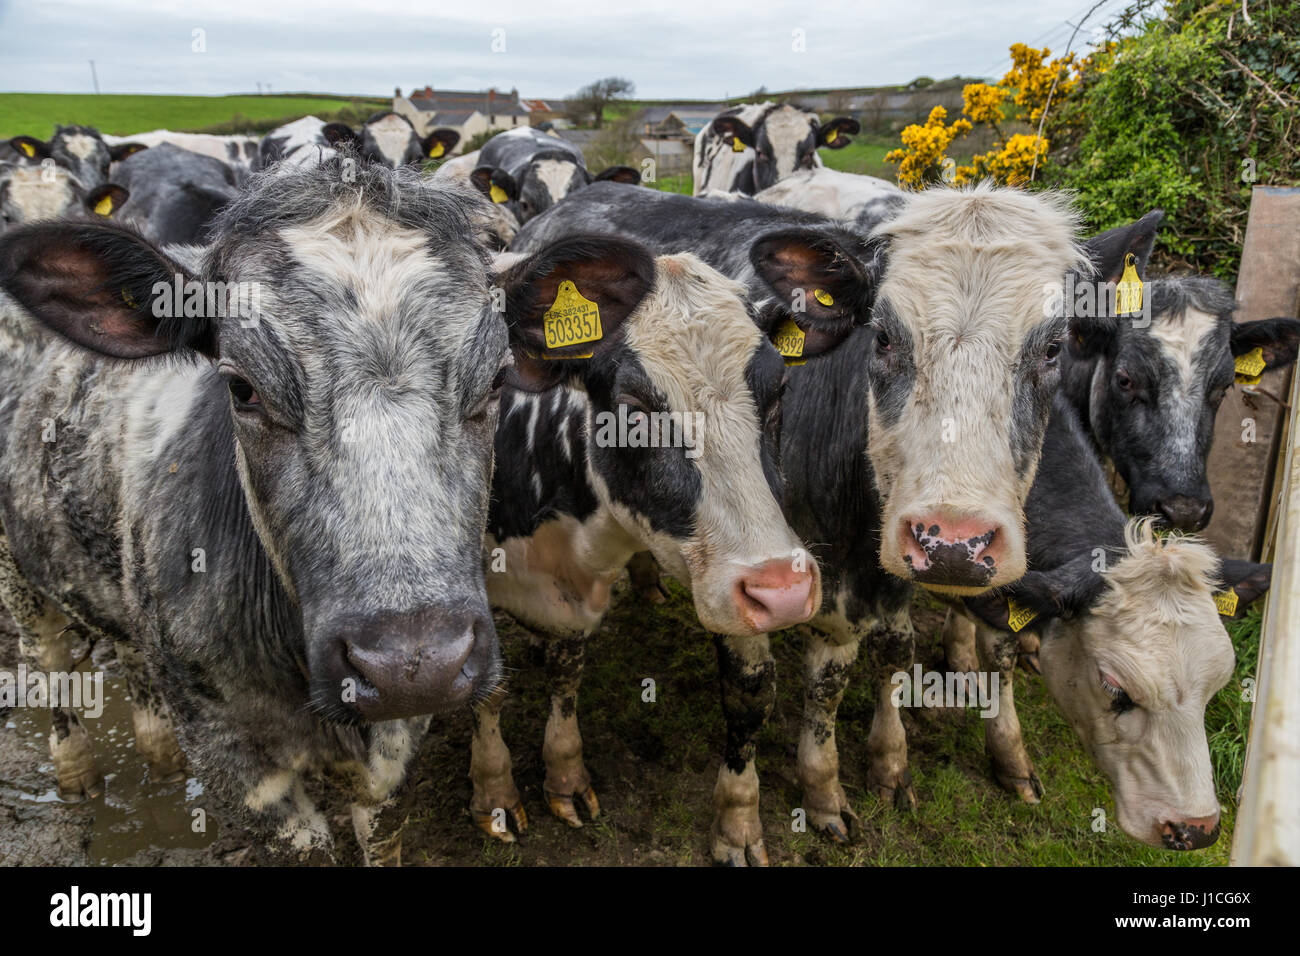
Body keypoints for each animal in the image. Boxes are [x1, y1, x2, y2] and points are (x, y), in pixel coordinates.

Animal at [0, 158, 585, 858]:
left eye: (498, 379)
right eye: (242, 388)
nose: (411, 664)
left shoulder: (395, 750)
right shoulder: (234, 756)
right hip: (19, 578)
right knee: (51, 667)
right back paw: (76, 773)